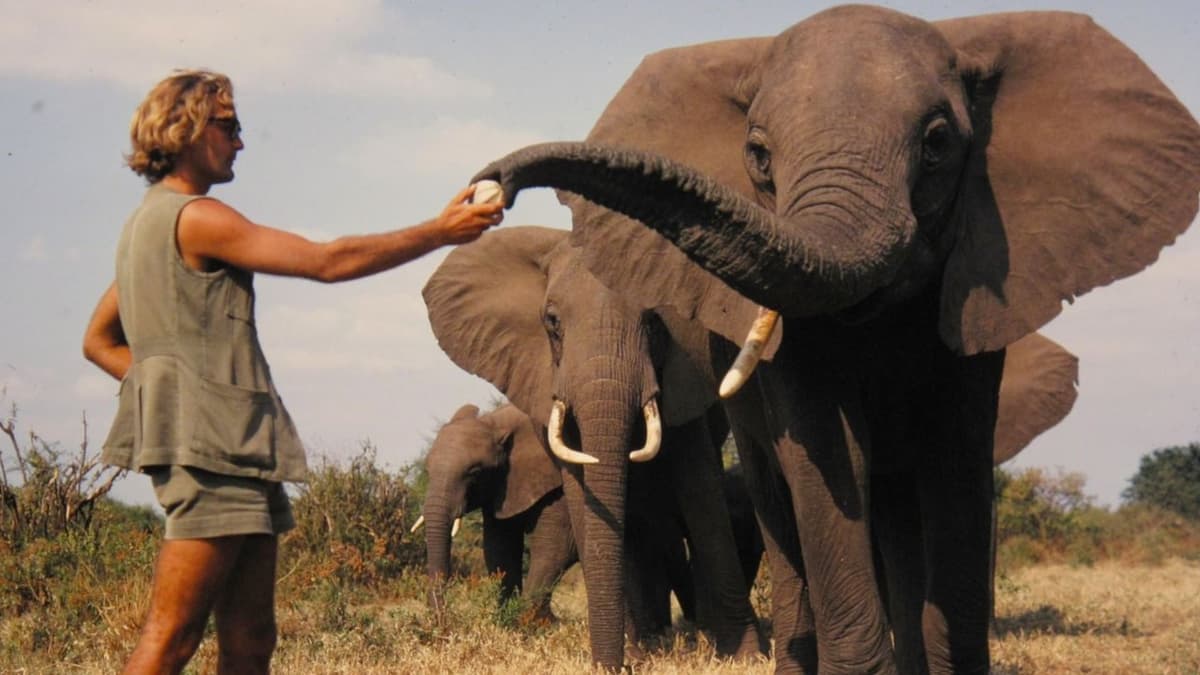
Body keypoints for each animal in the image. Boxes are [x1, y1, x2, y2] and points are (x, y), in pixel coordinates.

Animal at [423, 225, 766, 668]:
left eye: (654, 321)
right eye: (552, 322)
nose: (440, 631)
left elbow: (700, 493)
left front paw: (745, 657)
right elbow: (541, 522)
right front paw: (629, 656)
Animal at [471, 6, 1199, 673]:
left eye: (938, 142)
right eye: (758, 155)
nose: (491, 185)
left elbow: (956, 453)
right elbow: (828, 453)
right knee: (781, 502)